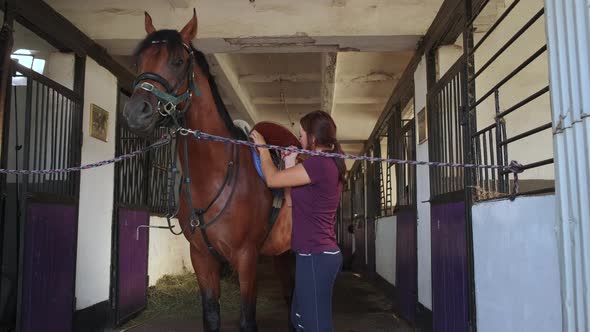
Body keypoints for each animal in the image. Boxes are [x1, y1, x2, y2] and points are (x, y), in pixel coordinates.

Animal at [122, 9, 296, 330]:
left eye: (177, 61)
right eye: (139, 61)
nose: (135, 113)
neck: (215, 176)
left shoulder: (247, 258)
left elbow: (247, 319)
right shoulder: (201, 258)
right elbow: (211, 314)